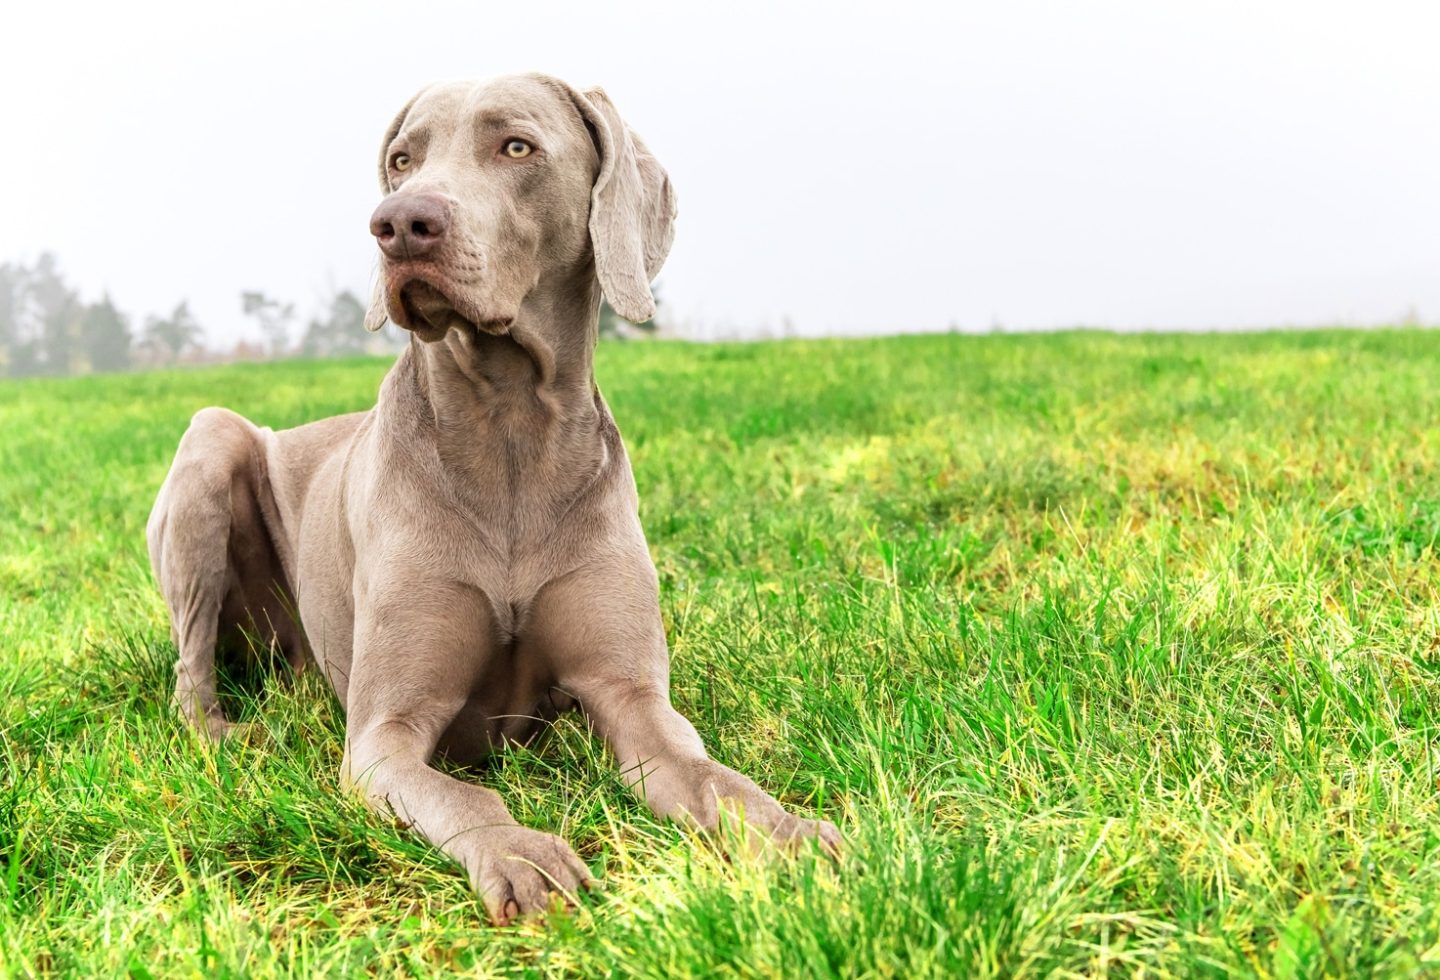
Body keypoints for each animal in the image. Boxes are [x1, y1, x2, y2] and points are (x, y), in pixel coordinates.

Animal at [144, 72, 840, 920]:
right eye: (403, 159)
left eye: (516, 147)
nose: (399, 225)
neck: (509, 428)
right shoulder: (383, 735)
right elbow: (466, 797)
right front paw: (523, 856)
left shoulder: (634, 699)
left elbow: (713, 779)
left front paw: (793, 834)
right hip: (210, 442)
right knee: (190, 670)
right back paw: (227, 733)